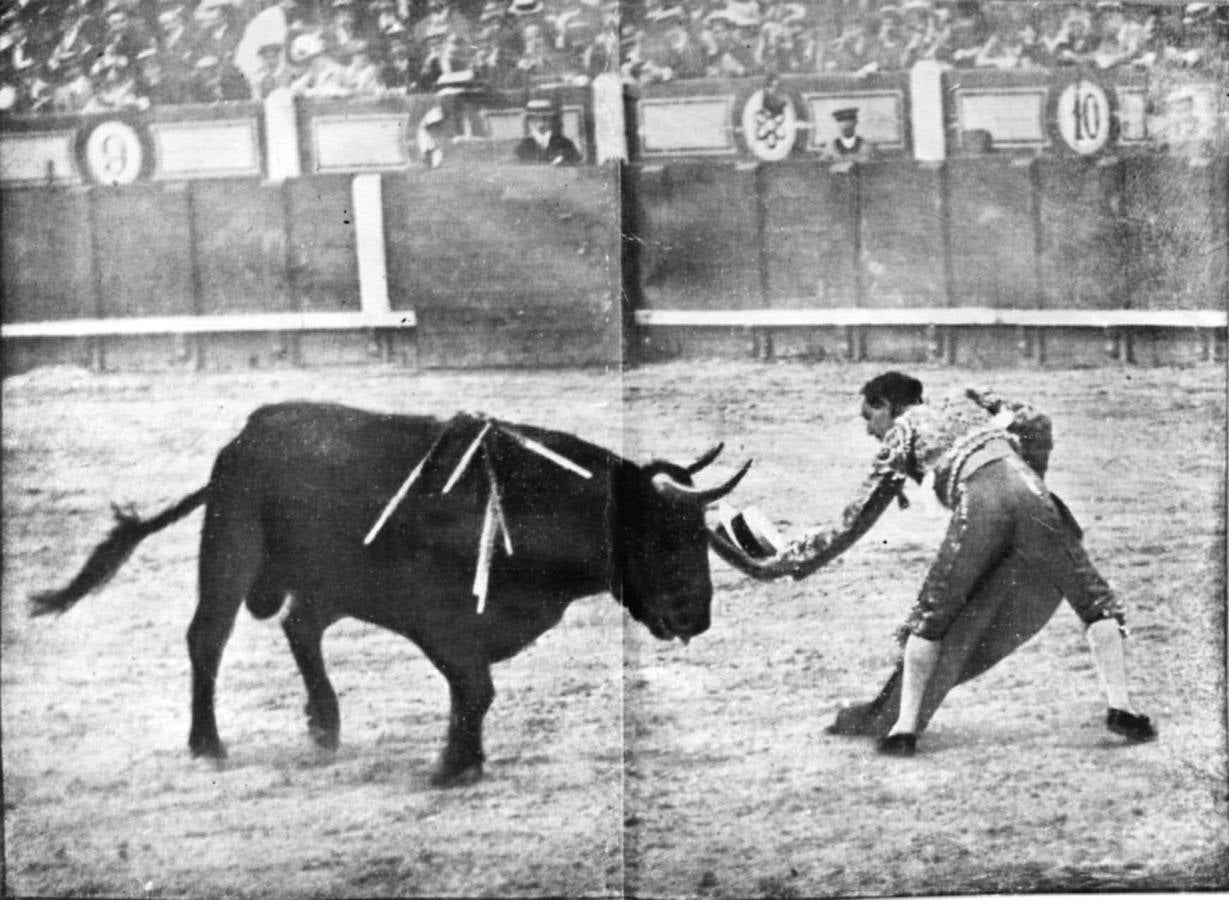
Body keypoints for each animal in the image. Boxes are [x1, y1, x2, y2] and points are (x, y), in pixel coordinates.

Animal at [28, 403, 747, 781]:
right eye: (664, 540)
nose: (698, 617)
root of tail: (246, 436)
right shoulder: (442, 623)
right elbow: (475, 689)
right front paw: (453, 766)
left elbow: (474, 693)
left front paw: (463, 761)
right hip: (228, 554)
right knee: (209, 638)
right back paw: (208, 744)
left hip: (325, 581)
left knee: (300, 627)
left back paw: (324, 724)